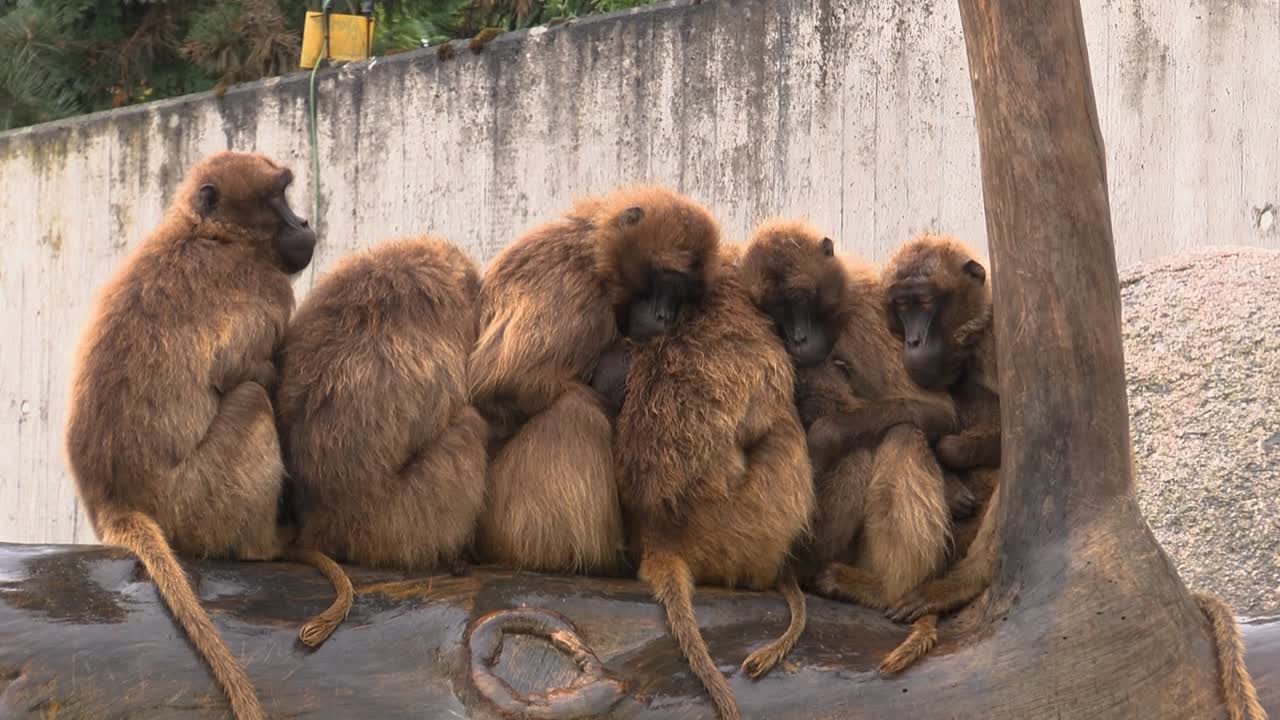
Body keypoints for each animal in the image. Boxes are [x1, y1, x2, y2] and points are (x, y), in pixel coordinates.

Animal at [64, 151, 350, 720]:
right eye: (276, 198)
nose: (303, 222)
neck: (210, 235)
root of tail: (113, 502)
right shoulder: (265, 287)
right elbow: (249, 372)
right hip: (193, 504)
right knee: (251, 398)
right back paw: (266, 547)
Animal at [738, 219, 960, 675]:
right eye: (777, 310)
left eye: (800, 301)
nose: (798, 337)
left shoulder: (867, 311)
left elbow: (938, 412)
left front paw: (822, 437)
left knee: (901, 434)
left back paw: (883, 590)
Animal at [882, 234, 1268, 717]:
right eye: (902, 306)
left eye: (923, 303)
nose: (914, 339)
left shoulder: (998, 342)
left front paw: (953, 455)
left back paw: (965, 579)